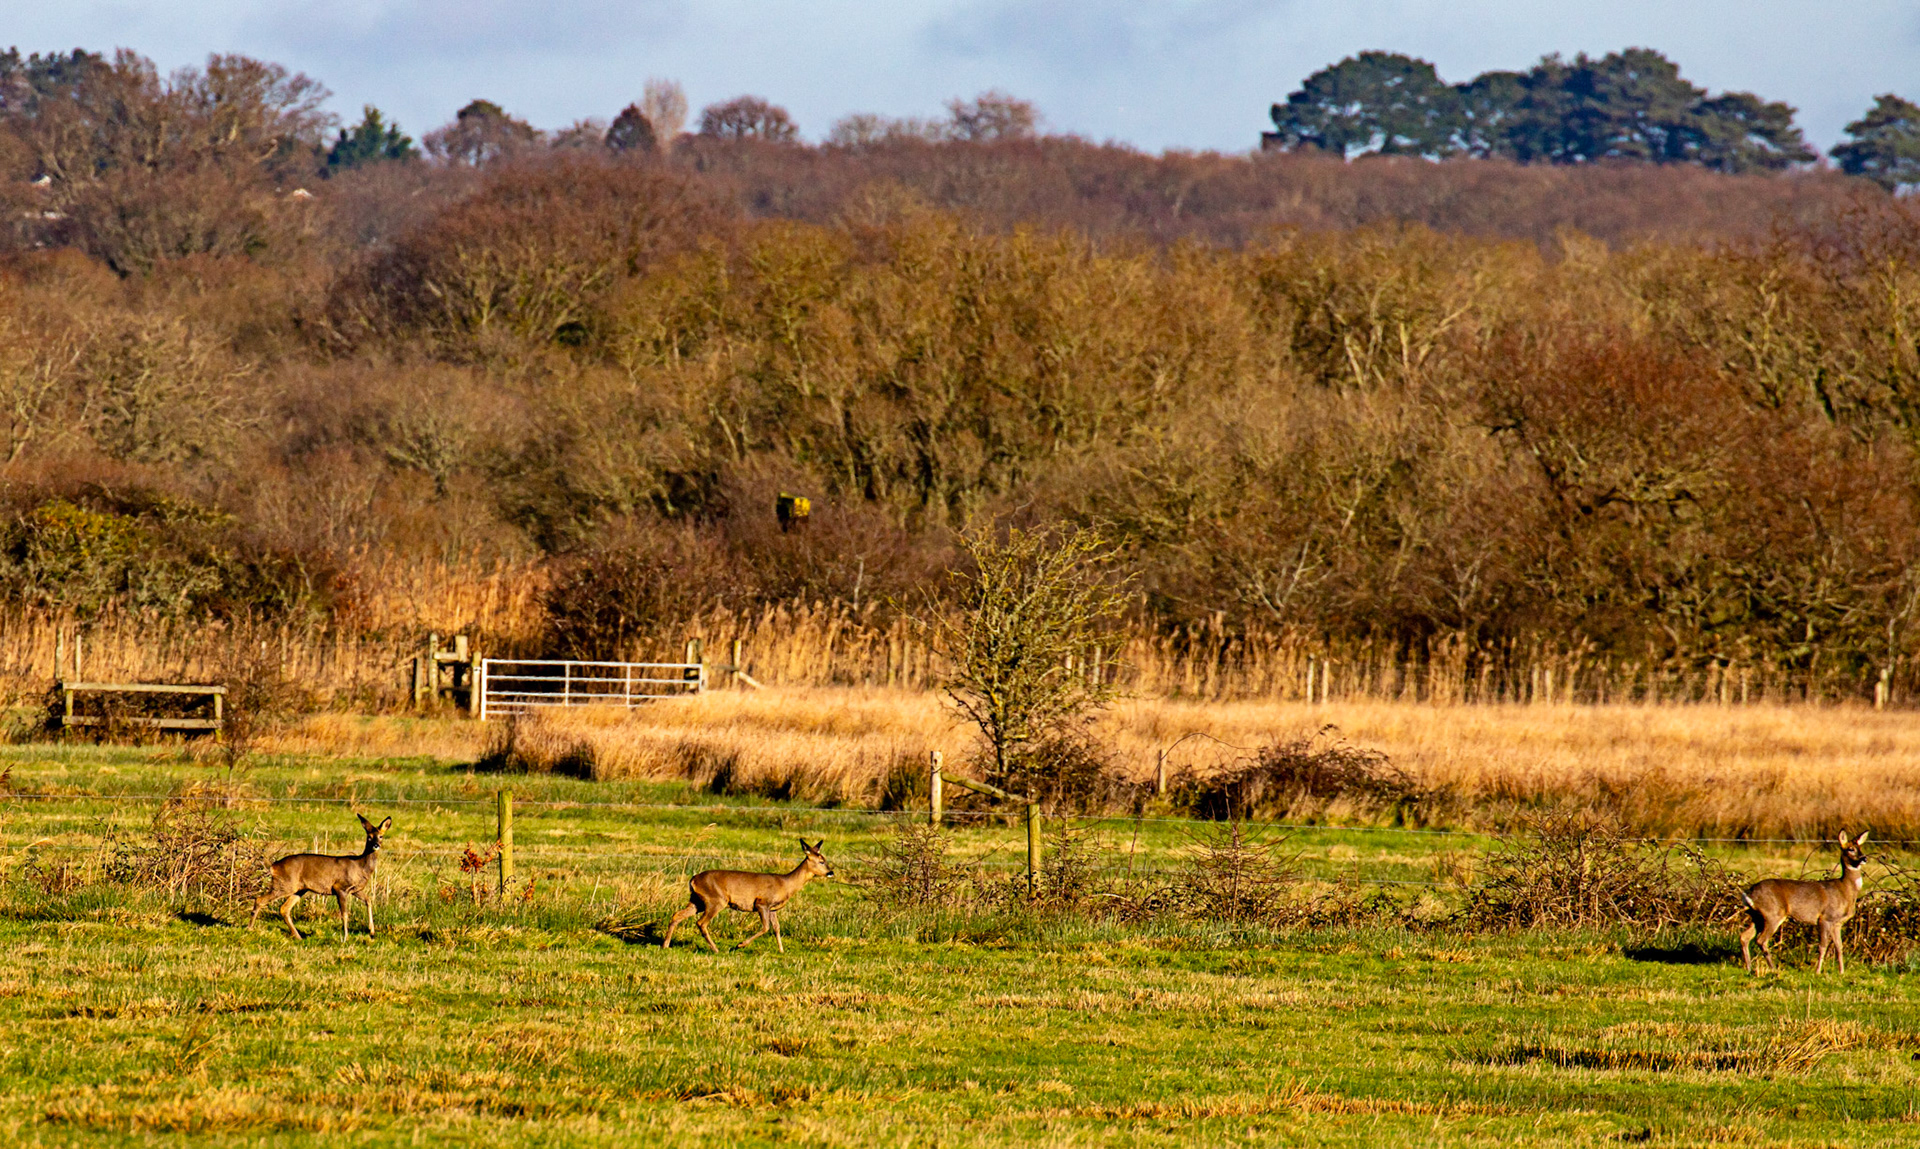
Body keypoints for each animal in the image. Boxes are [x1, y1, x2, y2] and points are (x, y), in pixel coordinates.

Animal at [250, 813, 390, 941]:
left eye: (381, 836)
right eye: (369, 837)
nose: (376, 845)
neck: (360, 866)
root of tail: (273, 866)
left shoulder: (355, 889)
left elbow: (369, 900)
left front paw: (371, 931)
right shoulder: (340, 887)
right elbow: (344, 914)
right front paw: (345, 937)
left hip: (299, 889)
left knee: (284, 908)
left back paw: (298, 936)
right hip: (285, 884)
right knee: (260, 900)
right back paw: (250, 928)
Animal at [663, 839, 833, 953]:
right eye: (821, 861)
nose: (831, 872)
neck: (786, 884)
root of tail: (693, 879)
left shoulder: (773, 909)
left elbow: (777, 928)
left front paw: (781, 950)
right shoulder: (762, 903)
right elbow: (766, 927)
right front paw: (740, 944)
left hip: (697, 901)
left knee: (677, 915)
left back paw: (665, 945)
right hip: (716, 900)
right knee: (701, 922)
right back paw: (716, 949)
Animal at [1738, 831, 1869, 974]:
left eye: (1860, 848)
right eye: (1850, 849)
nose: (1864, 858)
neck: (1845, 889)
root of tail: (1750, 893)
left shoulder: (1837, 923)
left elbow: (1839, 947)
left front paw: (1841, 972)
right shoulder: (1825, 917)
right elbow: (1822, 946)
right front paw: (1817, 971)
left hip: (1757, 916)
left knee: (1744, 936)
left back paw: (1749, 967)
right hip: (1773, 913)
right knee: (1761, 940)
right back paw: (1772, 968)